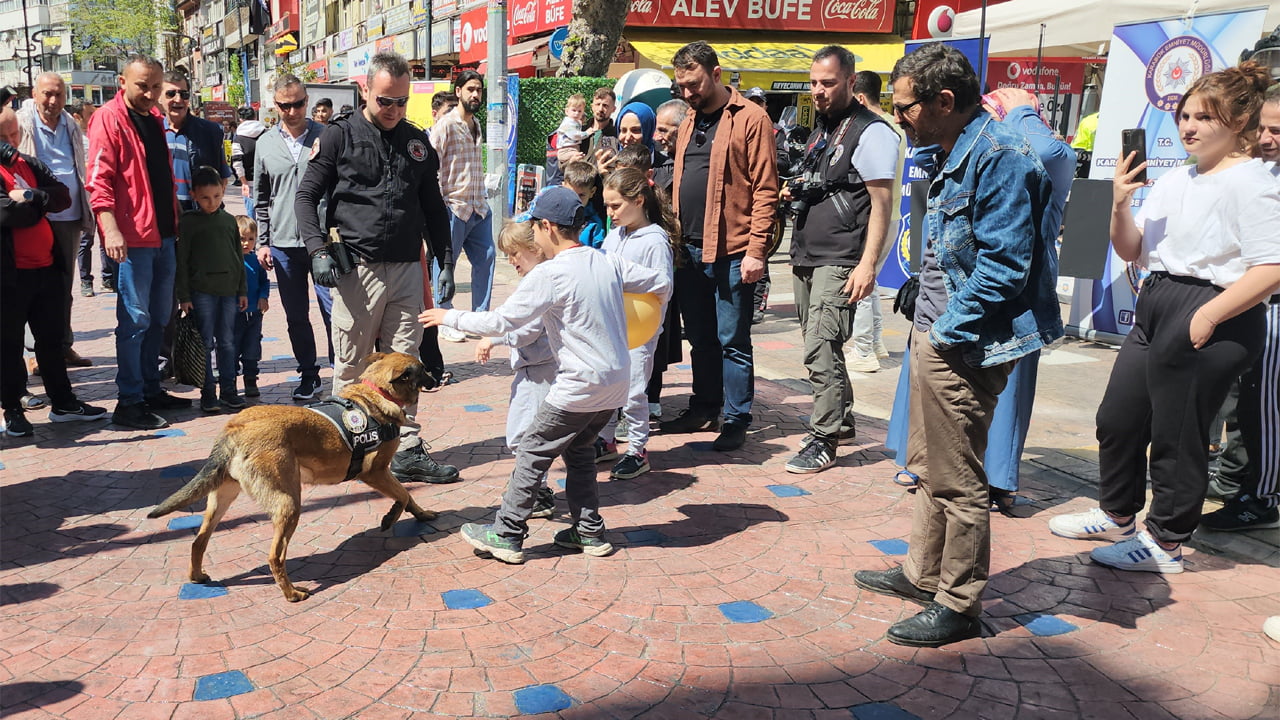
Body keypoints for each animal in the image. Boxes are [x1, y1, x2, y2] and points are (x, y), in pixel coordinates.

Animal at [147, 351, 440, 597]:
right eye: (423, 369)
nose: (437, 378)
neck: (376, 394)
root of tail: (236, 429)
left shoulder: (381, 474)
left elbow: (409, 497)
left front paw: (422, 514)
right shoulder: (376, 473)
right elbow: (403, 495)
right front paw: (391, 518)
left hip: (221, 500)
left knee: (198, 541)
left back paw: (197, 576)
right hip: (289, 503)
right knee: (275, 556)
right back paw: (292, 594)